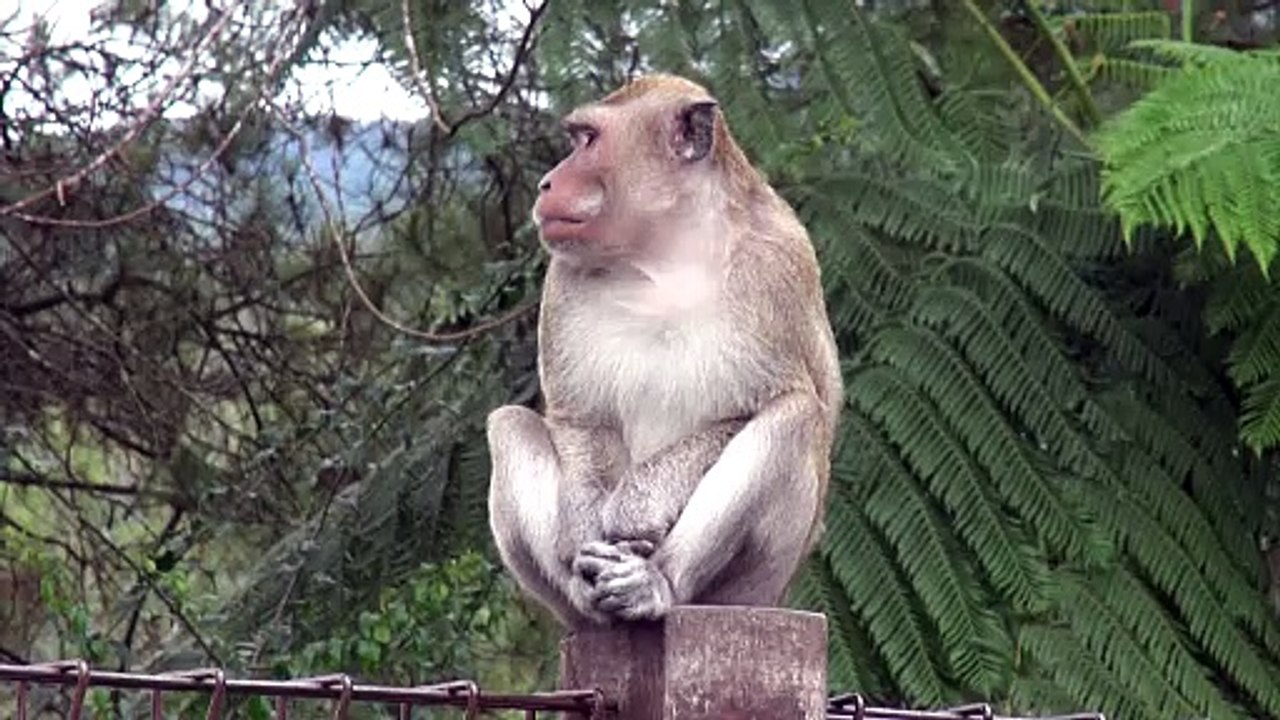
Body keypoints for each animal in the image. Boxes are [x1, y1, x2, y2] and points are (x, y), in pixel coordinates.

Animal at [486, 74, 842, 628]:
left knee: (796, 417)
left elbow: (764, 409)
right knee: (507, 425)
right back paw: (583, 591)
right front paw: (586, 528)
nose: (547, 183)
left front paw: (635, 508)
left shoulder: (779, 263)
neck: (666, 253)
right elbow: (580, 419)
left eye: (588, 140)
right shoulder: (563, 279)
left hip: (751, 587)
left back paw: (657, 584)